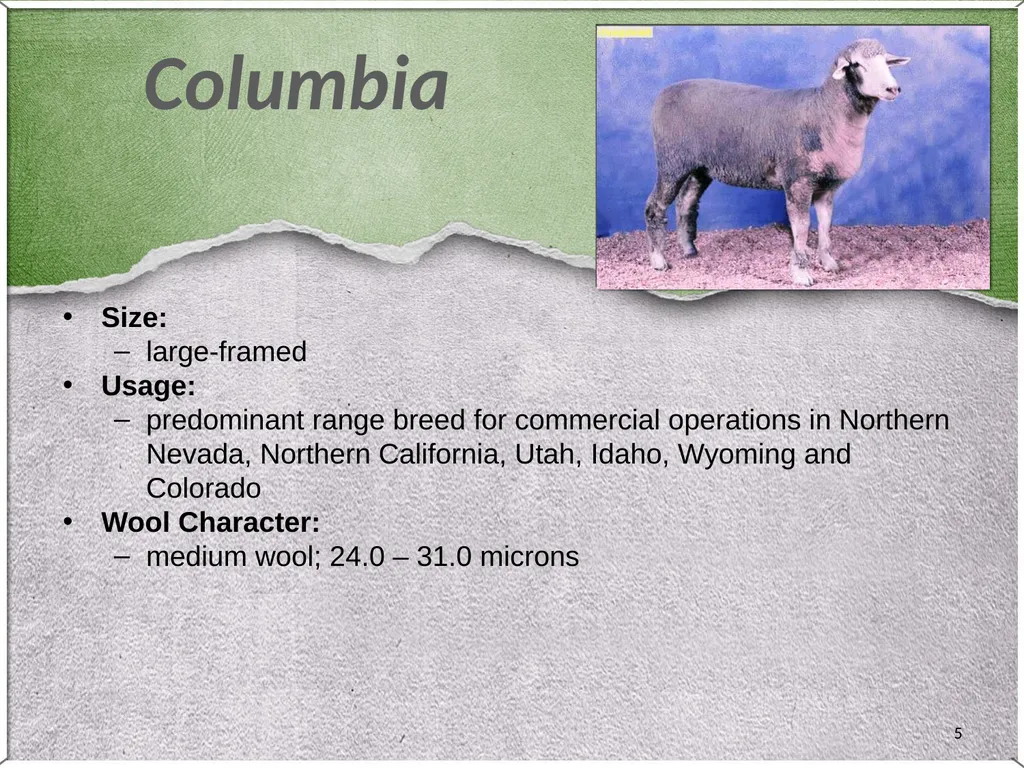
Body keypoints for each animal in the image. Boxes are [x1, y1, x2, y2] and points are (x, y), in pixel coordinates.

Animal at [644, 39, 910, 286]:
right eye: (857, 65)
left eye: (886, 62)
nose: (893, 88)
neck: (824, 112)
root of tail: (662, 95)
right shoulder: (798, 181)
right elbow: (801, 227)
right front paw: (801, 273)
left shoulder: (826, 187)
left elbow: (826, 226)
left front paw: (828, 263)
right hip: (671, 161)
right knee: (655, 205)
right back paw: (658, 259)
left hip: (700, 167)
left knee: (686, 202)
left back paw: (688, 249)